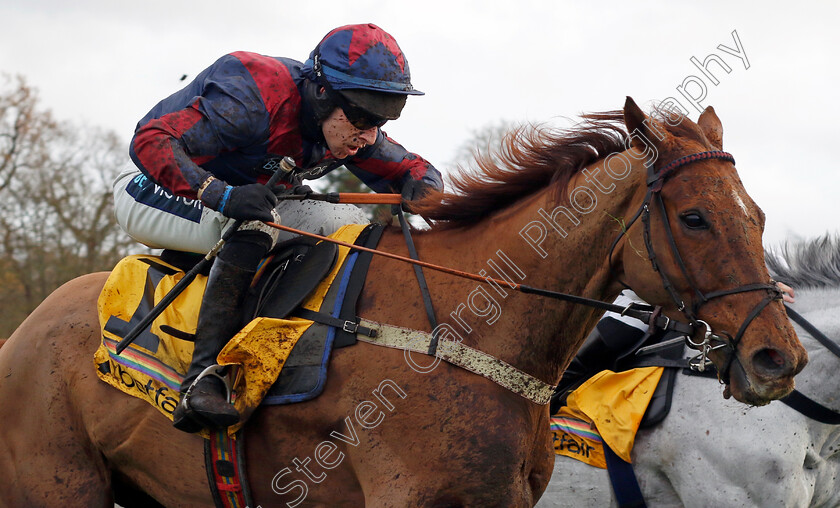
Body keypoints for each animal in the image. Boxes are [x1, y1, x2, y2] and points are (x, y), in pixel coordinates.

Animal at [0, 97, 808, 506]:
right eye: (694, 217)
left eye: (759, 214)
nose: (779, 357)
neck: (466, 332)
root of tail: (27, 329)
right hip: (55, 483)